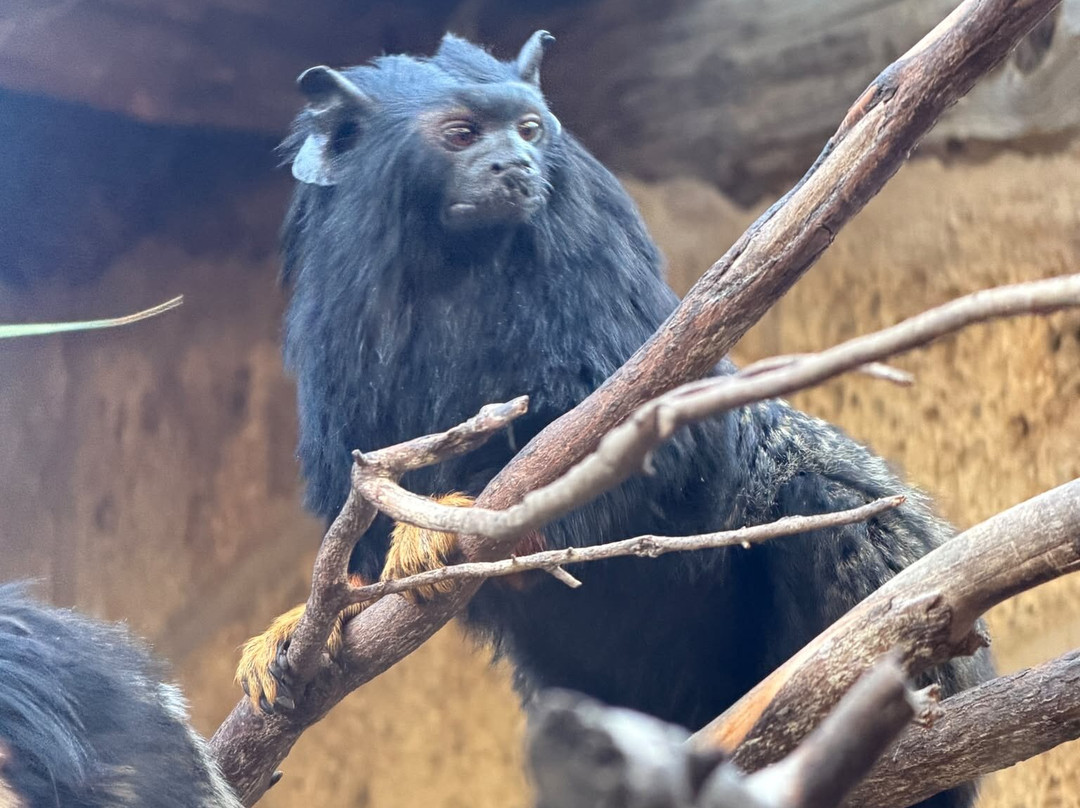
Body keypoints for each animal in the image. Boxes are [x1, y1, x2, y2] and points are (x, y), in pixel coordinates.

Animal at [236, 31, 994, 807]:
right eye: (463, 134)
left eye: (529, 131)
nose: (516, 165)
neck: (449, 263)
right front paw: (326, 612)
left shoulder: (592, 256)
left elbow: (668, 447)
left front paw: (448, 519)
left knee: (830, 496)